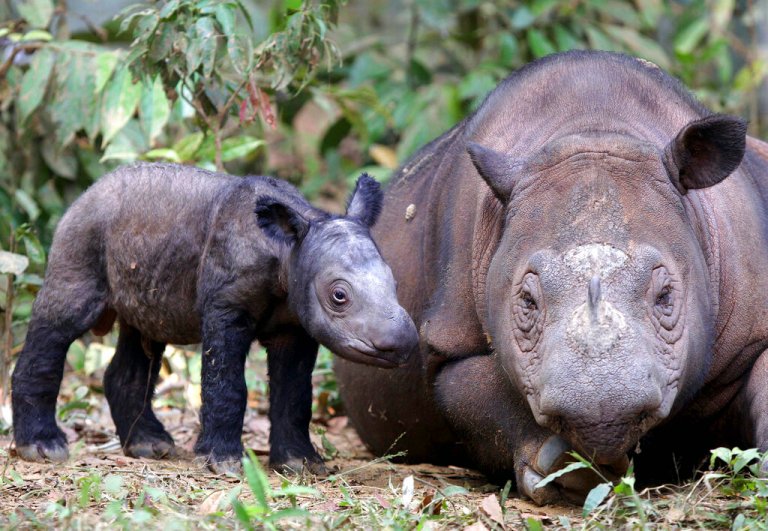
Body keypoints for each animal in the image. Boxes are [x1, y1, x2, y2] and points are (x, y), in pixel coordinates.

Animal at [12, 163, 418, 473]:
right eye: (339, 296)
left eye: (395, 282)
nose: (402, 343)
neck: (288, 251)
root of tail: (87, 192)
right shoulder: (226, 306)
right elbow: (227, 383)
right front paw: (221, 463)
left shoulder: (296, 323)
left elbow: (295, 393)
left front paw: (301, 464)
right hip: (82, 234)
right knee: (62, 320)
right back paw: (43, 448)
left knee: (142, 335)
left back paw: (148, 446)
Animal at [335, 50, 768, 503]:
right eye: (527, 303)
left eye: (666, 296)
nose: (602, 414)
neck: (595, 127)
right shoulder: (448, 341)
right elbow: (474, 392)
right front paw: (568, 469)